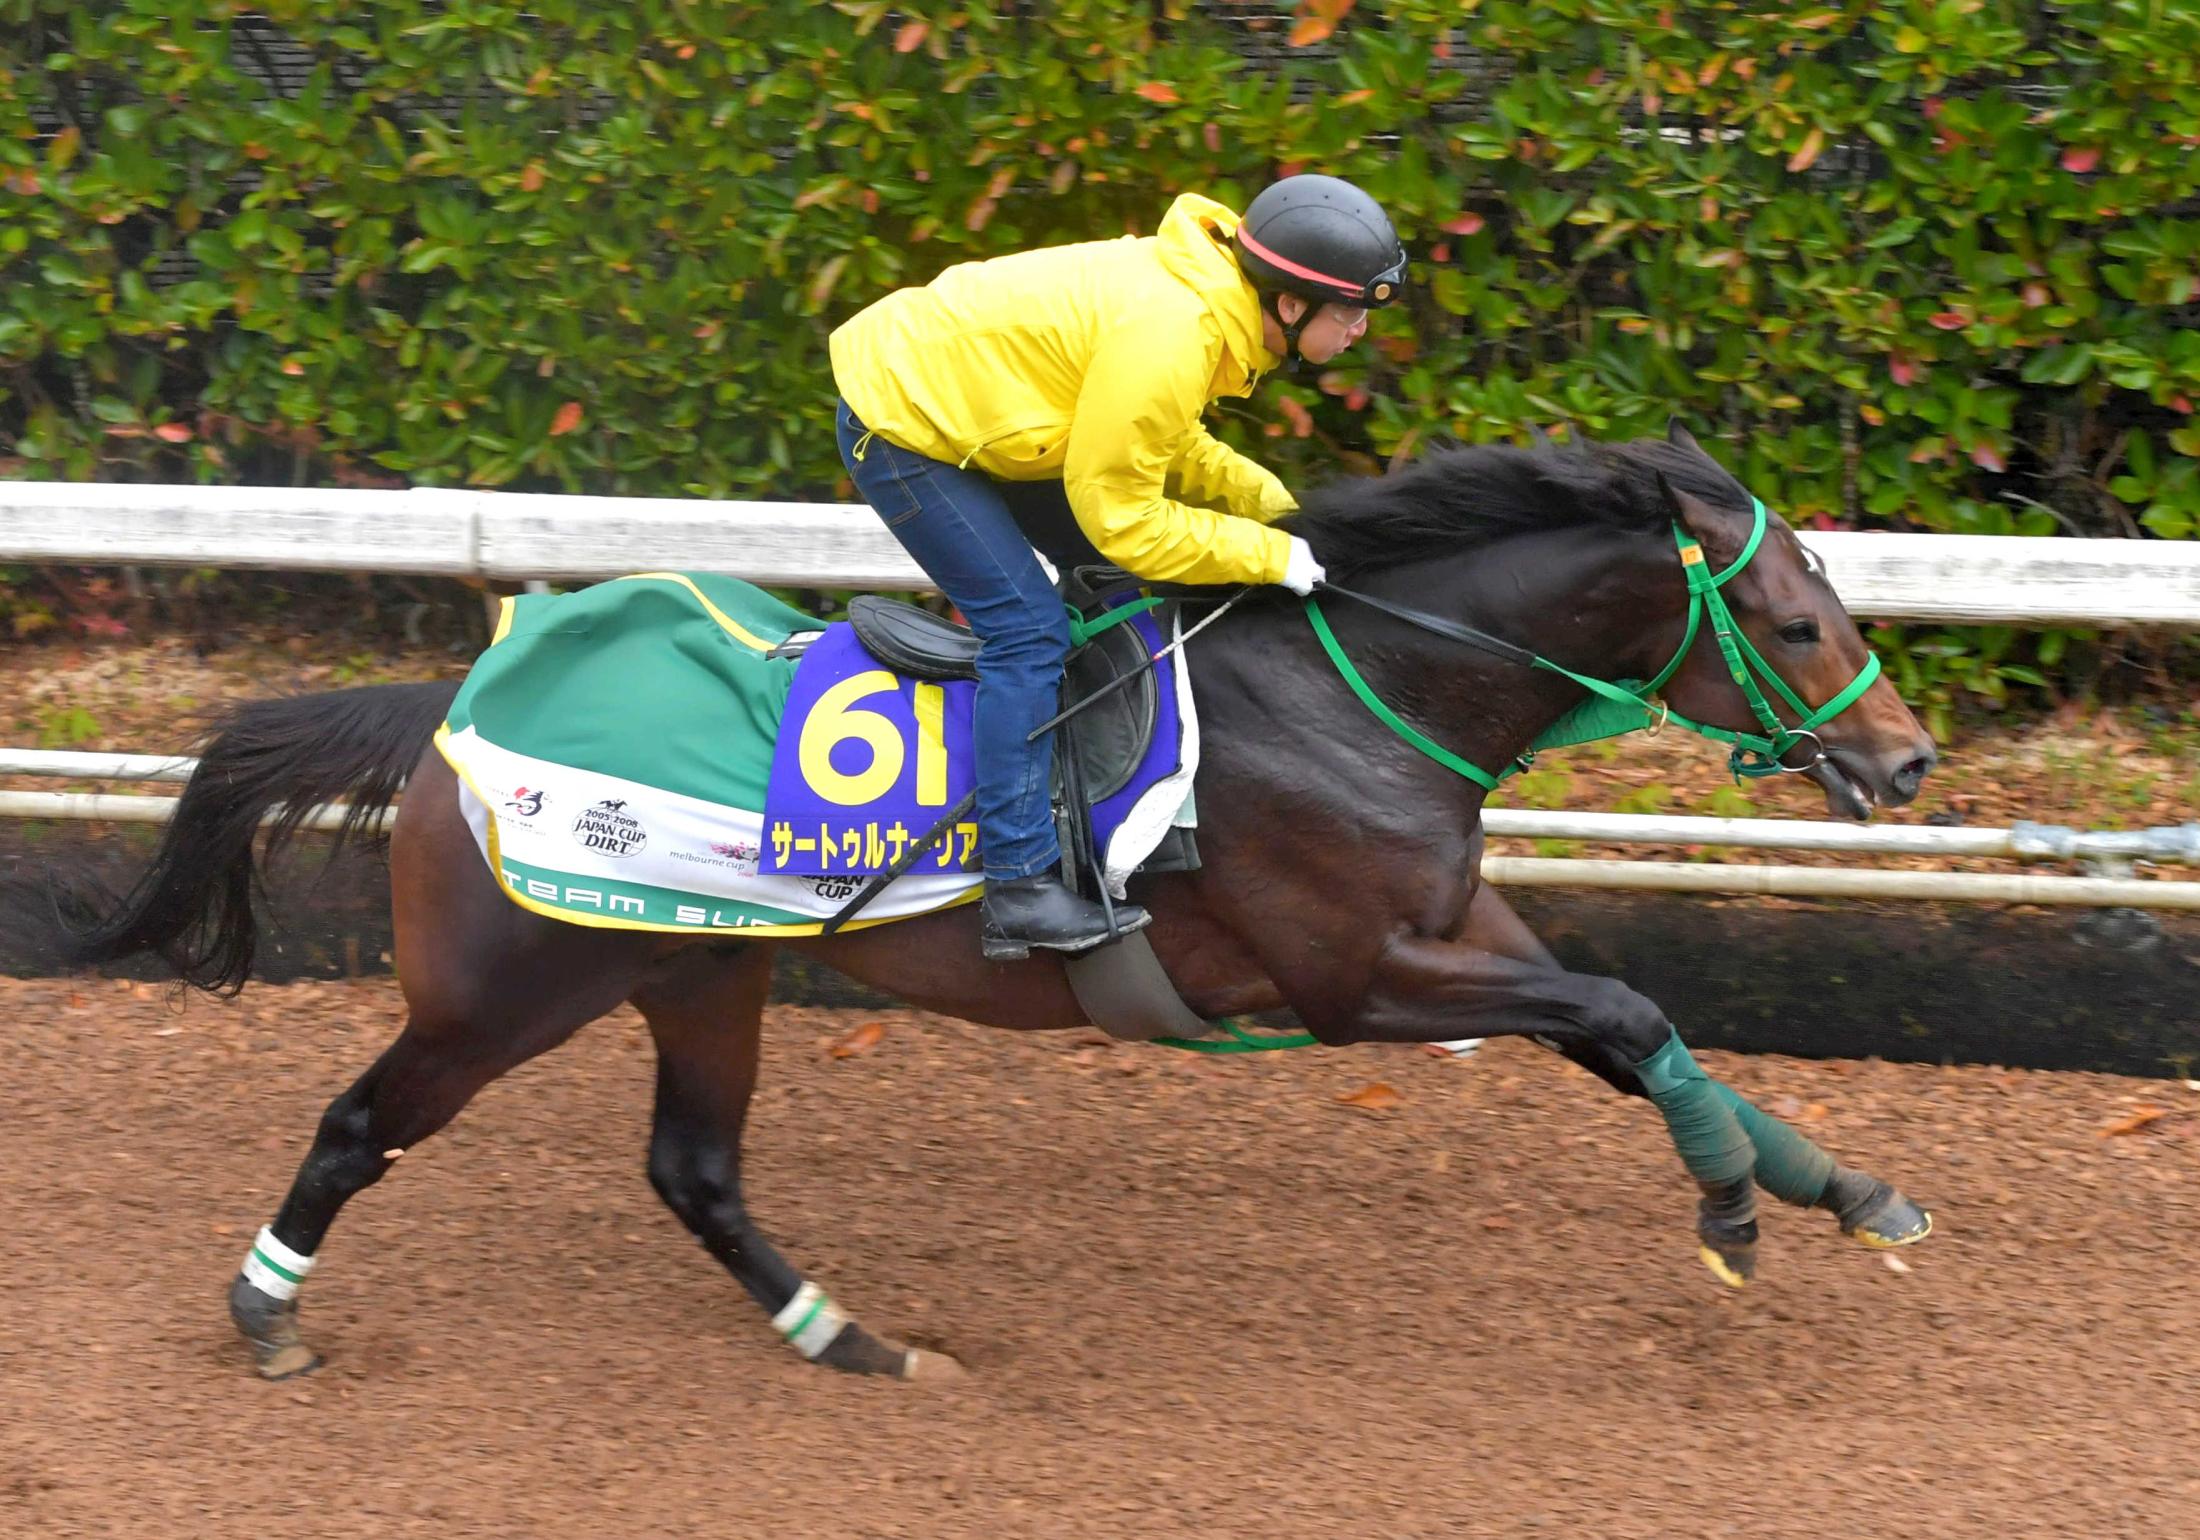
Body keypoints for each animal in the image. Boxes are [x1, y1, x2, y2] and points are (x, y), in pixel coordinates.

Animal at [47, 420, 1944, 1381]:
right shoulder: (1353, 979)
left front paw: (1841, 1188)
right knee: (359, 1124)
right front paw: (1736, 1216)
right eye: (1794, 619)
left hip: (699, 974)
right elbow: (1627, 1011)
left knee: (695, 1169)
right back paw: (265, 1314)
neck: (1358, 686)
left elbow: (1642, 1031)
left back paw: (857, 1344)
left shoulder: (1459, 934)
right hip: (508, 985)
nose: (1909, 761)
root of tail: (456, 705)